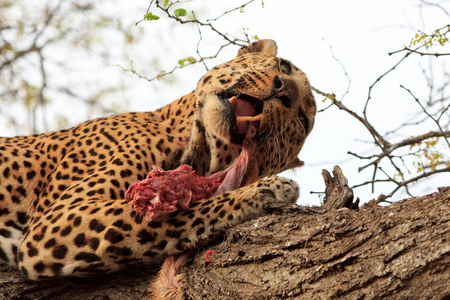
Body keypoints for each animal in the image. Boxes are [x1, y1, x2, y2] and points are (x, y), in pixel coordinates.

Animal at [0, 38, 316, 280]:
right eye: (283, 67)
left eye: (302, 120)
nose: (285, 90)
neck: (190, 146)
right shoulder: (58, 218)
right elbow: (168, 215)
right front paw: (265, 190)